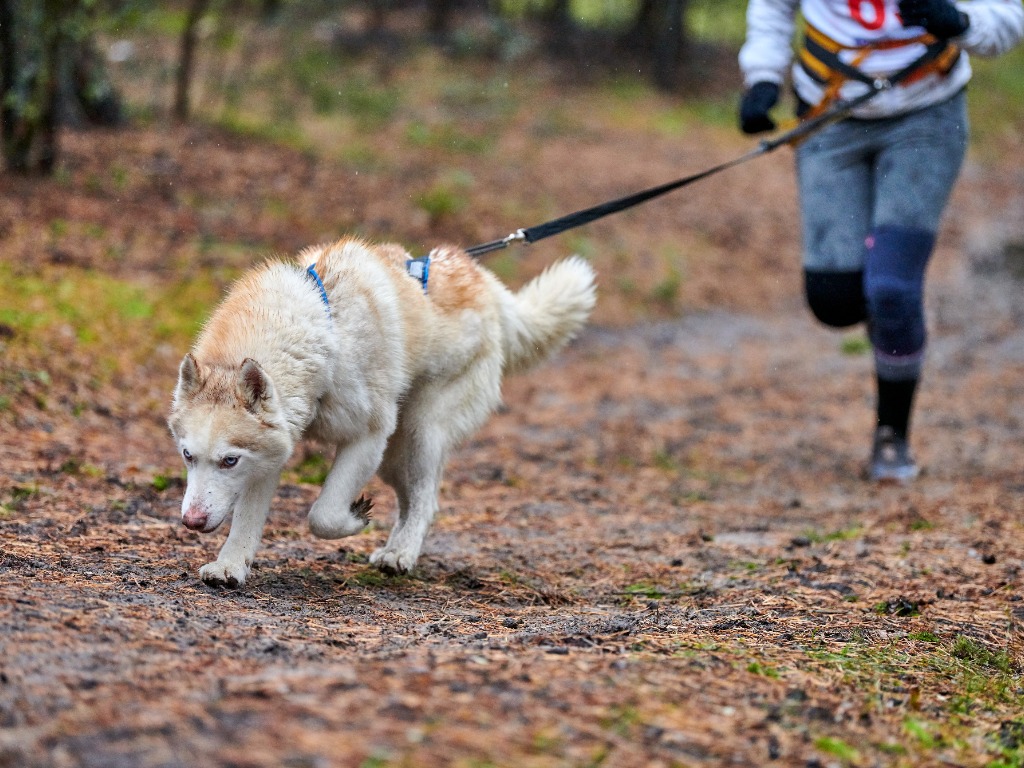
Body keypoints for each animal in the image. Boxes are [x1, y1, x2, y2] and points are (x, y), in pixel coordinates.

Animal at [166, 240, 598, 589]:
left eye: (229, 460)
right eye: (188, 456)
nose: (191, 522)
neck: (325, 332)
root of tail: (481, 279)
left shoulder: (367, 437)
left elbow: (323, 515)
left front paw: (355, 519)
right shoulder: (273, 452)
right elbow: (247, 522)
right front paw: (230, 567)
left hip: (422, 434)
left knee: (426, 501)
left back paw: (401, 554)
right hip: (394, 457)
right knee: (409, 502)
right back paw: (394, 547)